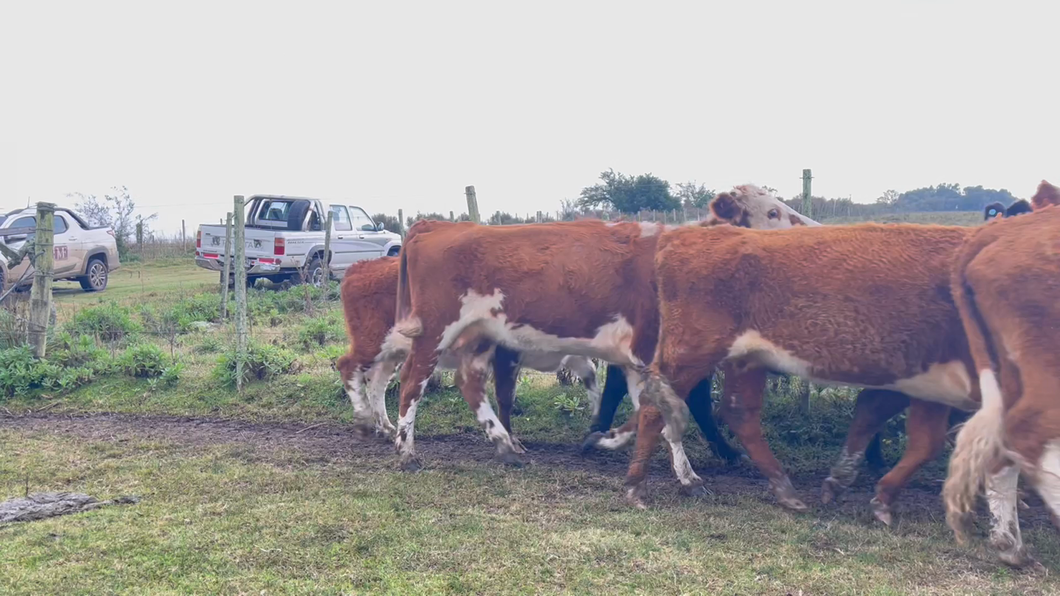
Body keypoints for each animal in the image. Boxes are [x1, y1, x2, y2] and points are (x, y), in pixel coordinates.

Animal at [394, 183, 814, 470]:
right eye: (772, 212)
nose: (815, 232)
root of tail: (435, 226)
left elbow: (623, 396)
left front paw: (602, 437)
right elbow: (687, 402)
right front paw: (718, 453)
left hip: (481, 337)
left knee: (470, 384)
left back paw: (505, 443)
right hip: (436, 331)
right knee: (413, 380)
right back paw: (406, 450)